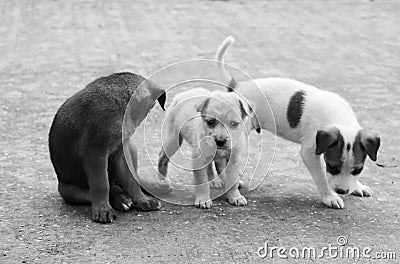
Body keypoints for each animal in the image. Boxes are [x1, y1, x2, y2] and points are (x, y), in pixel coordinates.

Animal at [48, 72, 167, 223]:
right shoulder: (95, 152)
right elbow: (102, 184)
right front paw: (103, 209)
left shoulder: (121, 151)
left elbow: (131, 180)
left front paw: (142, 200)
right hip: (67, 190)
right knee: (103, 189)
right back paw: (120, 198)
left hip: (132, 147)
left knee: (132, 179)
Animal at [216, 37, 382, 209]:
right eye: (332, 166)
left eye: (358, 170)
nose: (342, 191)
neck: (338, 117)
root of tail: (237, 85)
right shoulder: (309, 152)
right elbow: (322, 177)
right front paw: (330, 196)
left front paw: (358, 186)